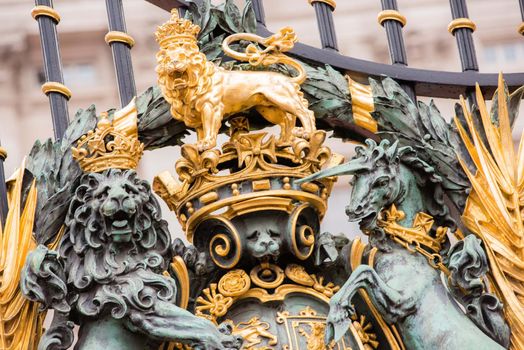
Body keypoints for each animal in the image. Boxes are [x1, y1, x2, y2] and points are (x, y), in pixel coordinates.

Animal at [156, 11, 316, 152]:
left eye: (182, 55)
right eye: (168, 59)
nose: (174, 62)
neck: (194, 84)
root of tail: (288, 78)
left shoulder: (211, 107)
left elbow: (210, 128)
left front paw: (207, 144)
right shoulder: (197, 115)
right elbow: (201, 132)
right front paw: (199, 145)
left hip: (283, 99)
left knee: (305, 112)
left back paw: (307, 134)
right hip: (270, 109)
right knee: (287, 120)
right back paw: (283, 141)